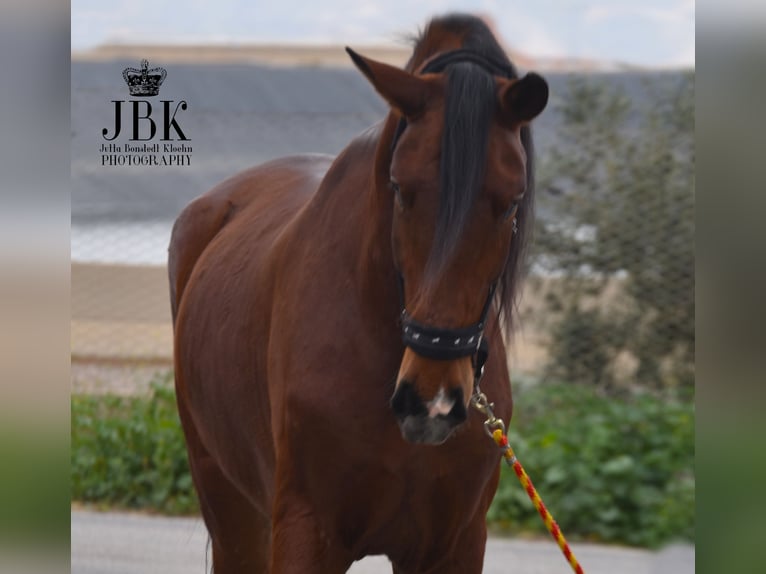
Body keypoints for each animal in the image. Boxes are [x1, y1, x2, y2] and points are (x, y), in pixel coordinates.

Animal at [169, 13, 548, 573]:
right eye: (400, 187)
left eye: (512, 200)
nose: (431, 402)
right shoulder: (306, 532)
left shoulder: (454, 545)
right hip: (227, 502)